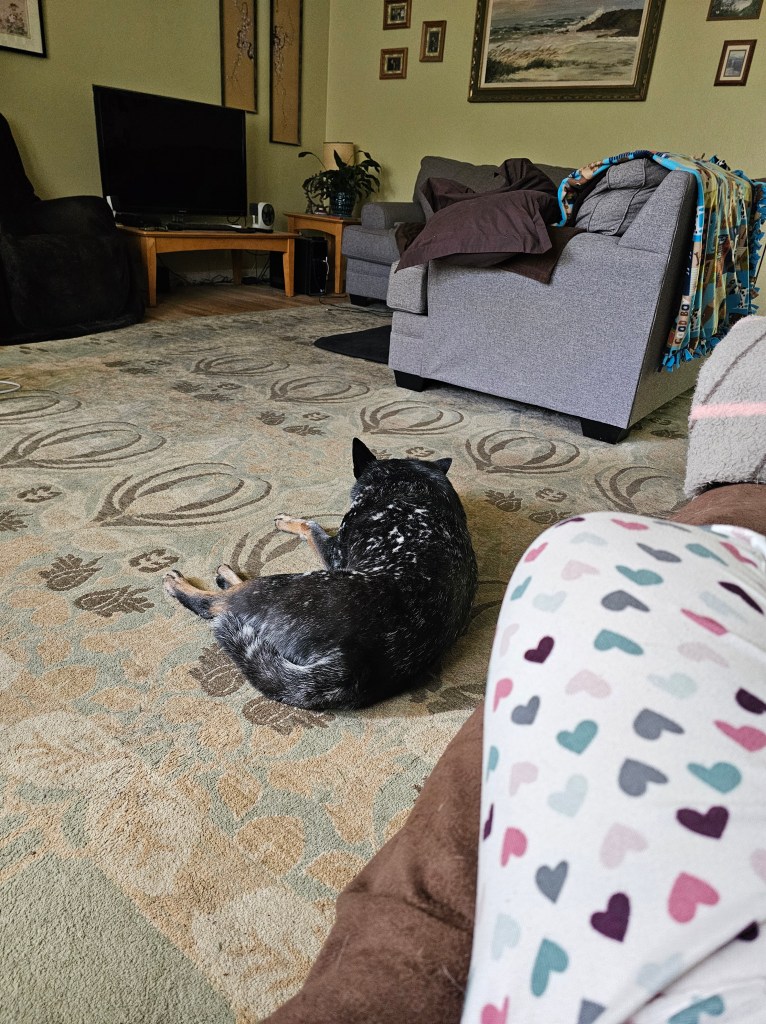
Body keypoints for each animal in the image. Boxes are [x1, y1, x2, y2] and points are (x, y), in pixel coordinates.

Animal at [163, 437, 478, 710]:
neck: (414, 487)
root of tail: (353, 663)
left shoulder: (335, 554)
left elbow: (312, 526)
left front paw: (289, 522)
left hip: (280, 584)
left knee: (214, 605)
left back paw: (188, 582)